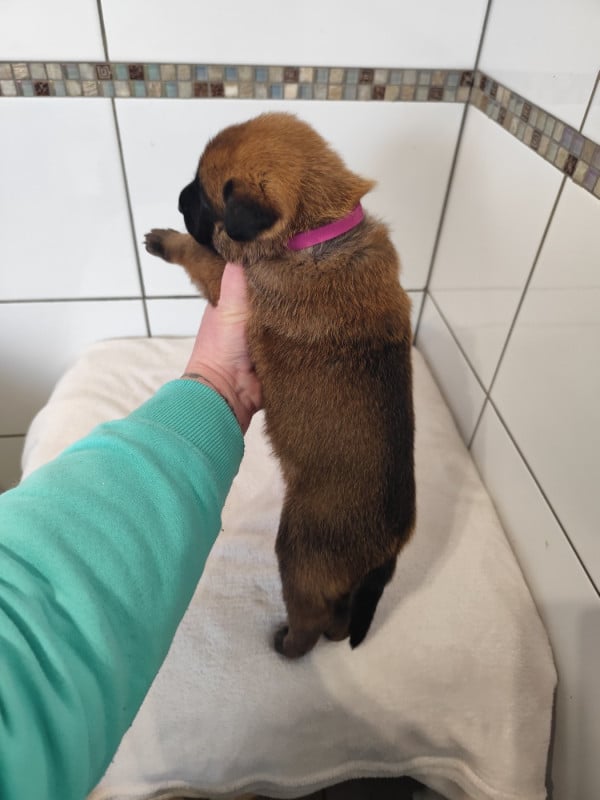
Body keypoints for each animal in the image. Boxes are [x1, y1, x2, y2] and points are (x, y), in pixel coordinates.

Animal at [145, 112, 415, 658]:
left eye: (203, 196)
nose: (179, 198)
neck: (316, 229)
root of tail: (390, 544)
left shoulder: (231, 279)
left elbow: (202, 254)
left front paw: (167, 240)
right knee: (339, 621)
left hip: (298, 553)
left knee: (310, 619)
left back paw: (287, 643)